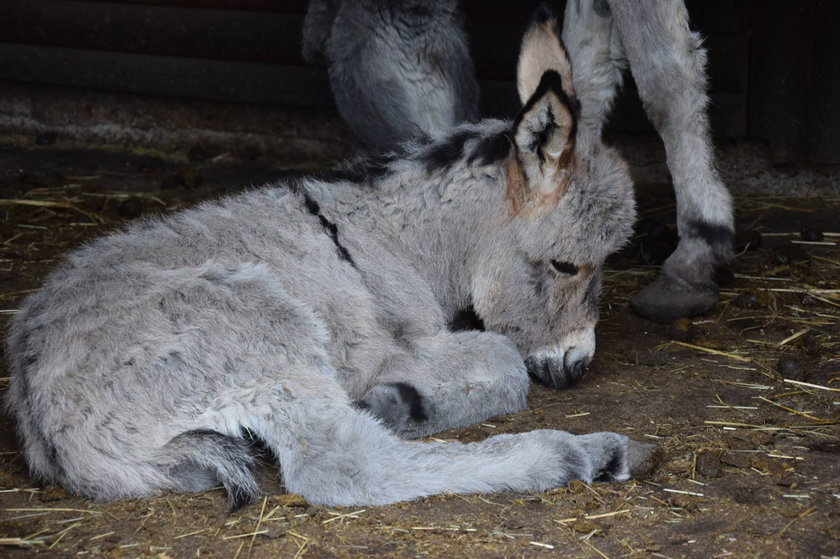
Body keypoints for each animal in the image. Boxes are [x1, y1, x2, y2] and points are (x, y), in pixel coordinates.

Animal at [4, 8, 648, 510]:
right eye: (566, 265)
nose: (578, 366)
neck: (399, 240)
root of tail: (51, 433)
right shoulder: (398, 343)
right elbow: (507, 364)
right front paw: (406, 400)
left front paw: (404, 402)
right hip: (262, 326)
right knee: (341, 467)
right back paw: (584, 454)